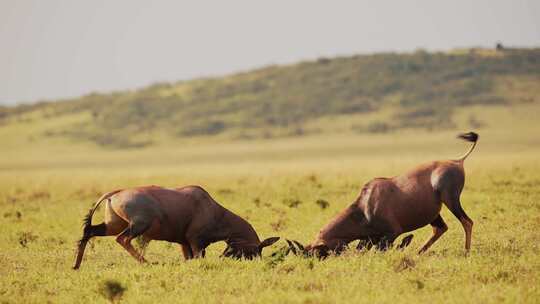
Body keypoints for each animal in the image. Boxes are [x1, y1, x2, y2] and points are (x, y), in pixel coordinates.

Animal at [73, 184, 278, 270]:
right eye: (256, 251)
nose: (224, 257)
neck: (210, 206)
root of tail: (115, 193)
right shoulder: (195, 241)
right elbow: (197, 258)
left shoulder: (184, 243)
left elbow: (188, 259)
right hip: (138, 225)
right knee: (122, 239)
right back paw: (148, 263)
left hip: (112, 225)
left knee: (89, 231)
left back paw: (76, 265)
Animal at [288, 132, 478, 258]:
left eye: (317, 253)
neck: (365, 204)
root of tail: (457, 161)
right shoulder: (370, 238)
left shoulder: (391, 233)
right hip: (434, 213)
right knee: (440, 228)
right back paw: (419, 252)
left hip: (451, 199)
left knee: (467, 222)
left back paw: (466, 252)